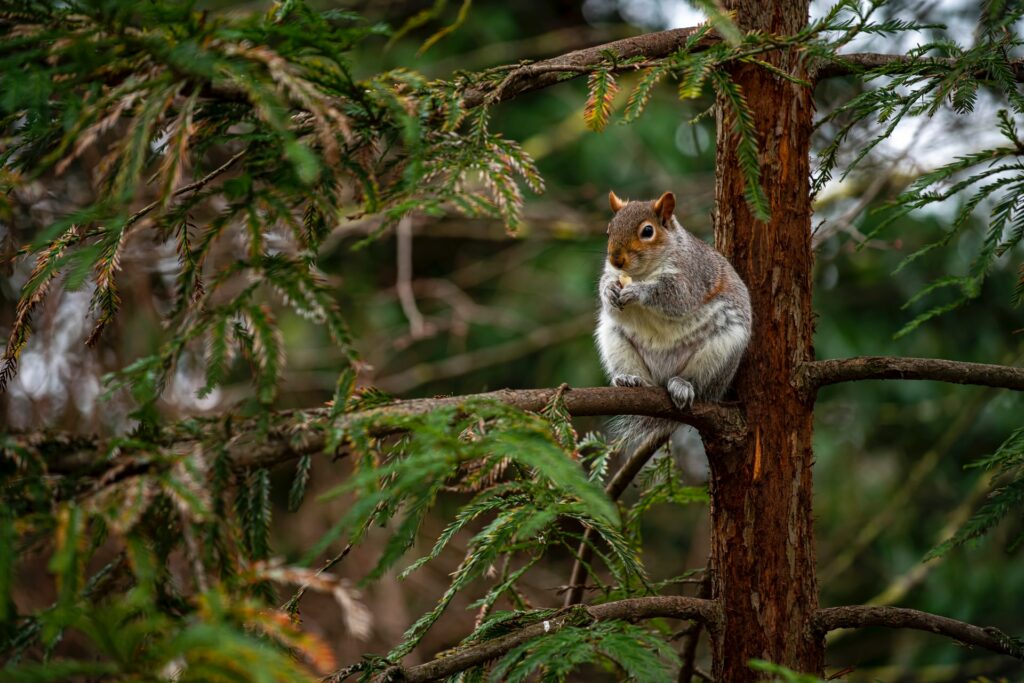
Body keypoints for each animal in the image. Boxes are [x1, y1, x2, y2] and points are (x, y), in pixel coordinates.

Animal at [593, 192, 753, 448]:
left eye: (648, 231)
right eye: (609, 229)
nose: (616, 260)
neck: (643, 272)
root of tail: (662, 376)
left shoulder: (692, 275)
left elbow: (676, 297)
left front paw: (638, 291)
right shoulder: (613, 278)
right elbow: (609, 295)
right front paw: (609, 290)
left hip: (722, 348)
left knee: (701, 385)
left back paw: (683, 386)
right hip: (614, 339)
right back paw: (630, 379)